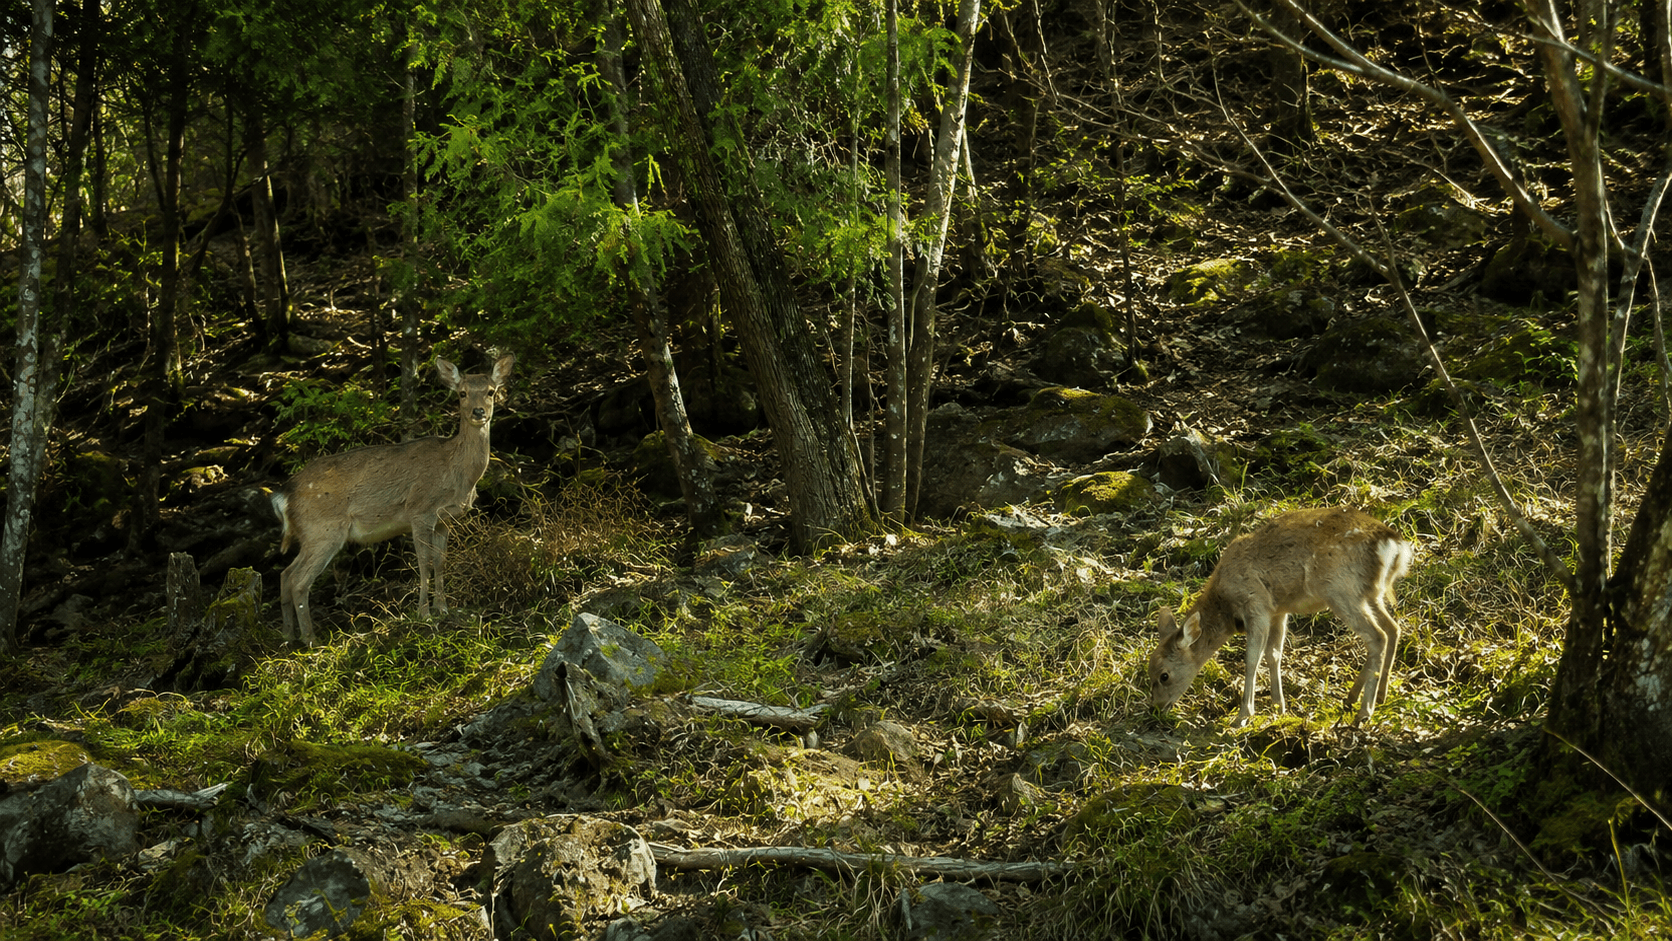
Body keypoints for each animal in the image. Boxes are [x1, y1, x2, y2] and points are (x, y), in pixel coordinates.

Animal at [269, 353, 515, 646]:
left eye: (491, 391)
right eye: (462, 393)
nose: (479, 412)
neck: (457, 475)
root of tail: (283, 495)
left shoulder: (444, 520)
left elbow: (441, 561)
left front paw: (443, 608)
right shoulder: (420, 511)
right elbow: (424, 562)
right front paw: (424, 614)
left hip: (309, 534)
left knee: (285, 574)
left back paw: (287, 636)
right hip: (323, 530)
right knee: (299, 580)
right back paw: (310, 640)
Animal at [1147, 507, 1415, 727]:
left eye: (1164, 675)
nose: (1156, 708)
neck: (1226, 604)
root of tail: (1395, 546)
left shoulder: (1257, 605)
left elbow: (1252, 659)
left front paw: (1243, 715)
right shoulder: (1278, 610)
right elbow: (1274, 654)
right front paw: (1279, 706)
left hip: (1341, 590)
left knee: (1377, 636)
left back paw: (1364, 711)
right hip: (1370, 593)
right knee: (1393, 628)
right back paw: (1369, 696)